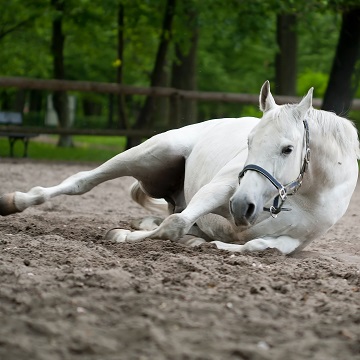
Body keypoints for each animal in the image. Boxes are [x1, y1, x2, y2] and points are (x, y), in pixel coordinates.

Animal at [0, 81, 360, 255]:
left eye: (288, 149)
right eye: (249, 141)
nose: (243, 206)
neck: (308, 193)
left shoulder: (297, 240)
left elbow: (260, 246)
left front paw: (210, 244)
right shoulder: (222, 189)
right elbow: (174, 225)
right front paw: (123, 236)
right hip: (147, 154)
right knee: (81, 182)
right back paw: (14, 201)